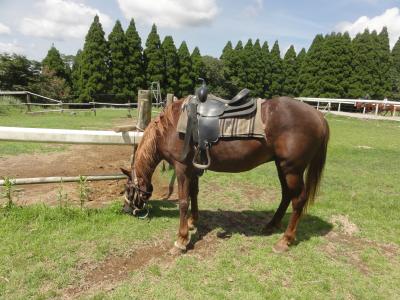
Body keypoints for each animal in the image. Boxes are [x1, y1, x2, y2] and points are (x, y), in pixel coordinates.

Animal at [121, 97, 328, 254]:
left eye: (128, 189)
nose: (125, 209)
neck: (171, 127)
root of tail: (318, 115)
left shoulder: (181, 168)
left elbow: (183, 202)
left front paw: (181, 240)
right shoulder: (192, 169)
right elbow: (194, 194)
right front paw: (192, 222)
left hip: (292, 170)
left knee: (298, 200)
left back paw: (285, 240)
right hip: (282, 167)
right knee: (286, 195)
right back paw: (272, 225)